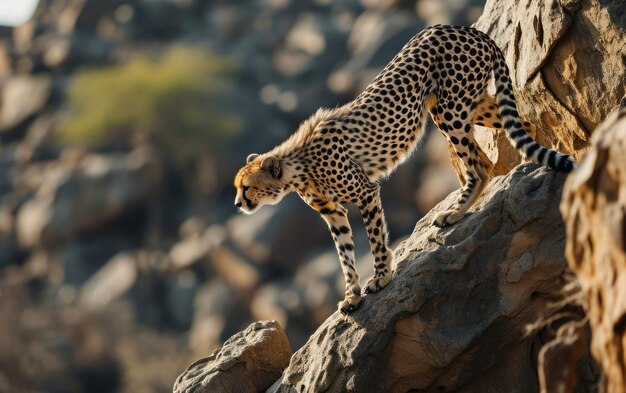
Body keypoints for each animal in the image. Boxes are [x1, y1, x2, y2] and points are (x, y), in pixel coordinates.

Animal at [232, 23, 572, 312]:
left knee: (479, 166)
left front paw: (381, 277)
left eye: (246, 187)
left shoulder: (366, 192)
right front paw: (351, 296)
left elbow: (375, 239)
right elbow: (344, 254)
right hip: (469, 104)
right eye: (238, 188)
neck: (297, 167)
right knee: (520, 127)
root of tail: (463, 28)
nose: (237, 204)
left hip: (449, 109)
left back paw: (455, 213)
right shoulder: (333, 213)